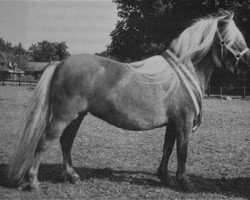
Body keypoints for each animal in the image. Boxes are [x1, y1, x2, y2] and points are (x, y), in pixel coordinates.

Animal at [7, 10, 250, 191]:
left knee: (66, 142)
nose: (247, 60)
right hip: (62, 116)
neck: (184, 73)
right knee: (45, 141)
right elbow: (182, 151)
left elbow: (168, 148)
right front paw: (184, 182)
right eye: (233, 39)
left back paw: (72, 176)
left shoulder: (173, 124)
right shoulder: (184, 122)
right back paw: (33, 182)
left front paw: (164, 177)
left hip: (77, 116)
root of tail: (61, 63)